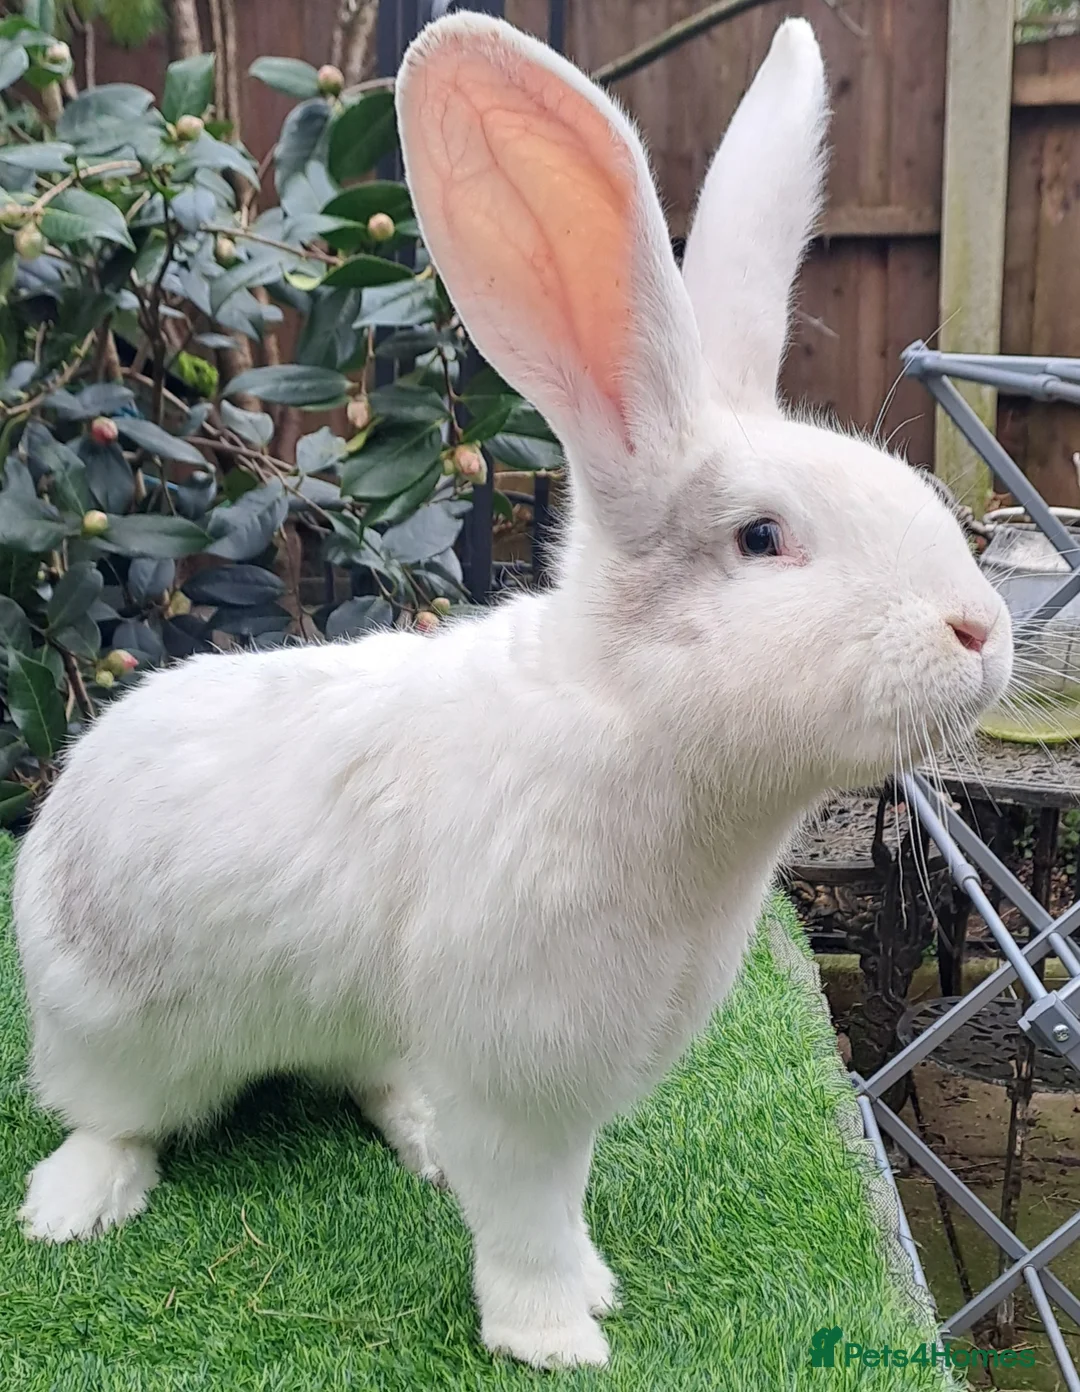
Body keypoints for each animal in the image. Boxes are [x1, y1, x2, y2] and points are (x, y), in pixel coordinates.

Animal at [13, 12, 1011, 1371]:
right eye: (763, 539)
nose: (983, 632)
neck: (633, 721)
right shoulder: (524, 1064)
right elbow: (527, 1206)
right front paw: (555, 1337)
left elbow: (556, 1196)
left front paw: (586, 1290)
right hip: (112, 1027)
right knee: (110, 1112)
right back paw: (74, 1205)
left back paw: (411, 1133)